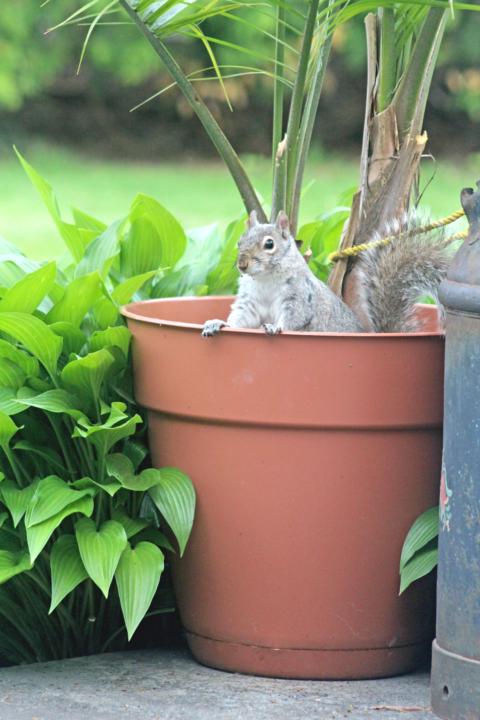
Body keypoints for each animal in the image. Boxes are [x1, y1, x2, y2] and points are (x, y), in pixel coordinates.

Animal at [201, 209, 454, 336]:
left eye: (269, 244)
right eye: (240, 242)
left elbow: (294, 317)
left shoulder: (299, 296)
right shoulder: (250, 301)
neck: (265, 279)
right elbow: (242, 319)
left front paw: (276, 327)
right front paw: (218, 324)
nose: (242, 265)